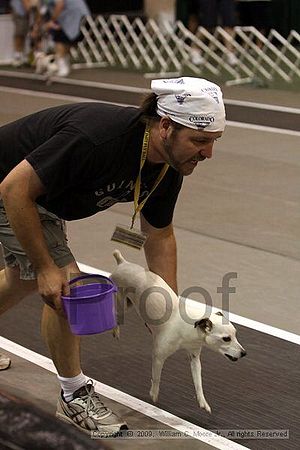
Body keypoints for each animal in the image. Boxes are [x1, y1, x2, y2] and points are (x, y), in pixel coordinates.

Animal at [111, 251, 245, 414]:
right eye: (226, 339)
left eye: (235, 335)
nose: (244, 353)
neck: (189, 329)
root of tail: (123, 263)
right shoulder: (158, 356)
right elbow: (156, 378)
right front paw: (154, 394)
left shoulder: (194, 358)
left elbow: (198, 383)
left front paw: (203, 402)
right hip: (122, 305)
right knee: (114, 315)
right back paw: (115, 330)